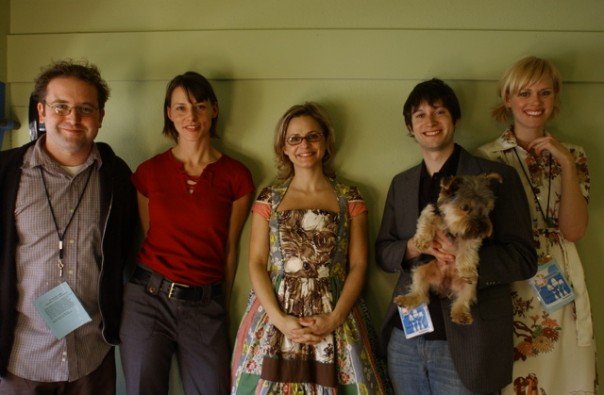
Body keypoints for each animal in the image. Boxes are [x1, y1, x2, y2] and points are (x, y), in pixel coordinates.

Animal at [394, 173, 502, 324]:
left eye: (486, 208)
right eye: (465, 207)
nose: (481, 226)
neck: (451, 226)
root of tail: (443, 288)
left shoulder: (471, 237)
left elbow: (468, 252)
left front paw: (467, 270)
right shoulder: (430, 211)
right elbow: (425, 222)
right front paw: (422, 241)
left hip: (470, 285)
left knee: (463, 299)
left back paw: (460, 314)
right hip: (421, 270)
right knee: (421, 293)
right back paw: (408, 299)